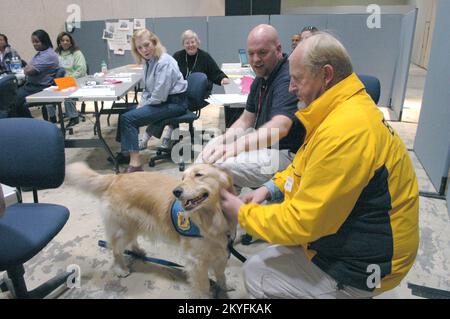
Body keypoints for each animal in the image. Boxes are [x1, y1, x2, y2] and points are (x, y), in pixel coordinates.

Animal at [66, 164, 237, 298]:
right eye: (182, 178)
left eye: (199, 175)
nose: (176, 192)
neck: (212, 218)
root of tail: (116, 177)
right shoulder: (196, 261)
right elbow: (203, 286)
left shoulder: (222, 252)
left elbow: (221, 274)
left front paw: (224, 287)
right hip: (123, 228)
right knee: (115, 248)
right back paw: (121, 268)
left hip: (133, 224)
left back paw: (137, 250)